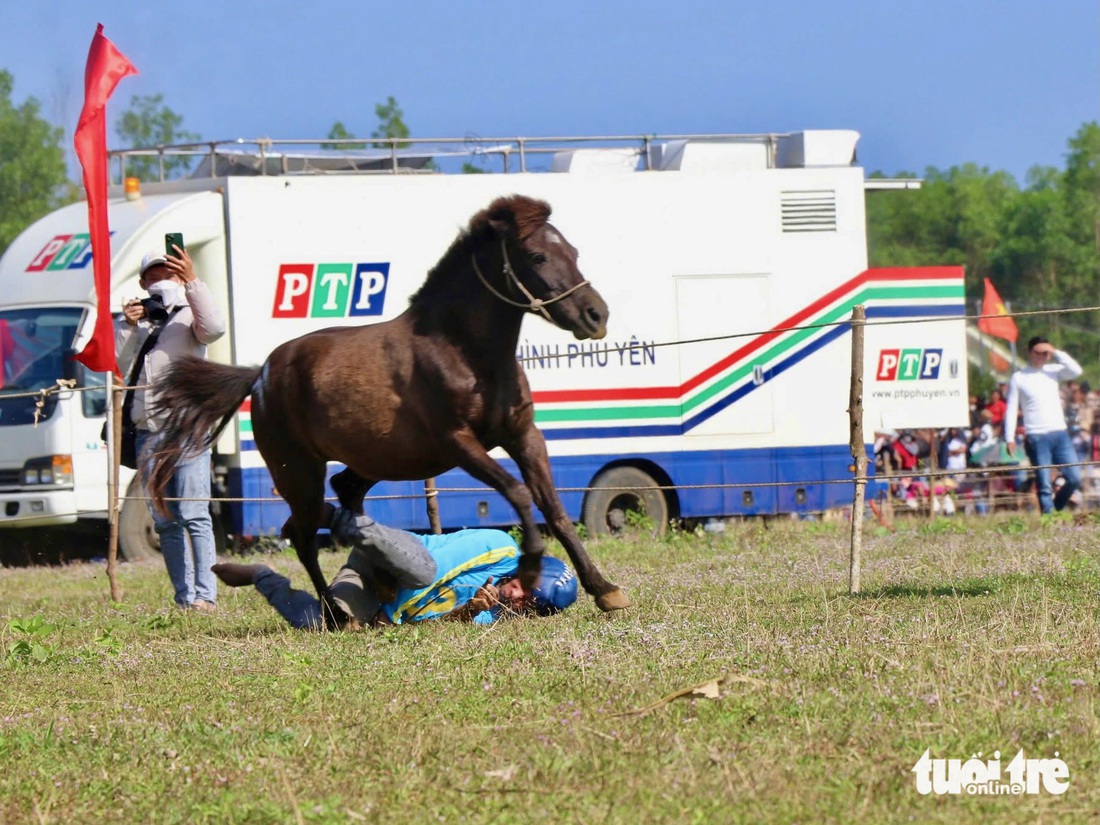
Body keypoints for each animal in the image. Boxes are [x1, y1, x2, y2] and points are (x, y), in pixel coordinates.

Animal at [149, 195, 629, 620]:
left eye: (572, 251)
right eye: (537, 255)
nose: (596, 315)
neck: (465, 351)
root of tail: (261, 374)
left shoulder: (523, 435)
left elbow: (556, 510)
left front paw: (605, 591)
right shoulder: (458, 443)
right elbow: (518, 493)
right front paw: (529, 568)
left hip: (378, 459)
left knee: (343, 495)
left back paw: (377, 583)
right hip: (298, 472)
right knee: (303, 534)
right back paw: (334, 613)